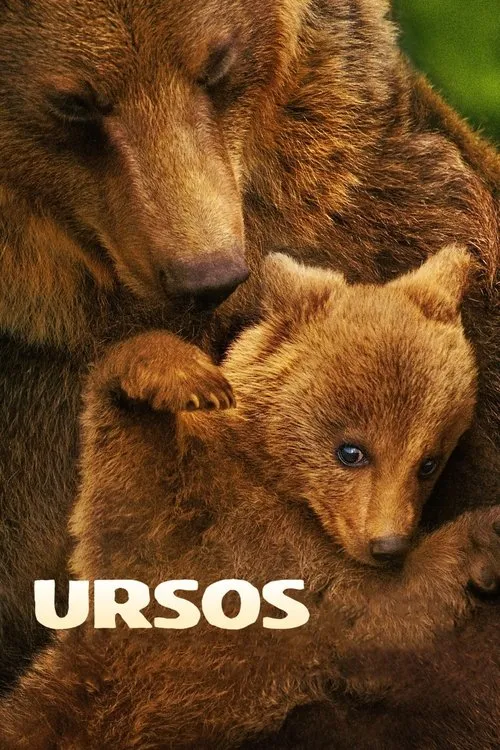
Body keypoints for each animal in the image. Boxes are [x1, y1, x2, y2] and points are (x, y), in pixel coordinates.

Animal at [1, 248, 499, 750]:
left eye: (429, 462)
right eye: (351, 450)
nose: (388, 545)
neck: (274, 486)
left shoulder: (310, 605)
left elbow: (382, 611)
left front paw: (484, 539)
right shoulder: (175, 518)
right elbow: (125, 465)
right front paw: (185, 376)